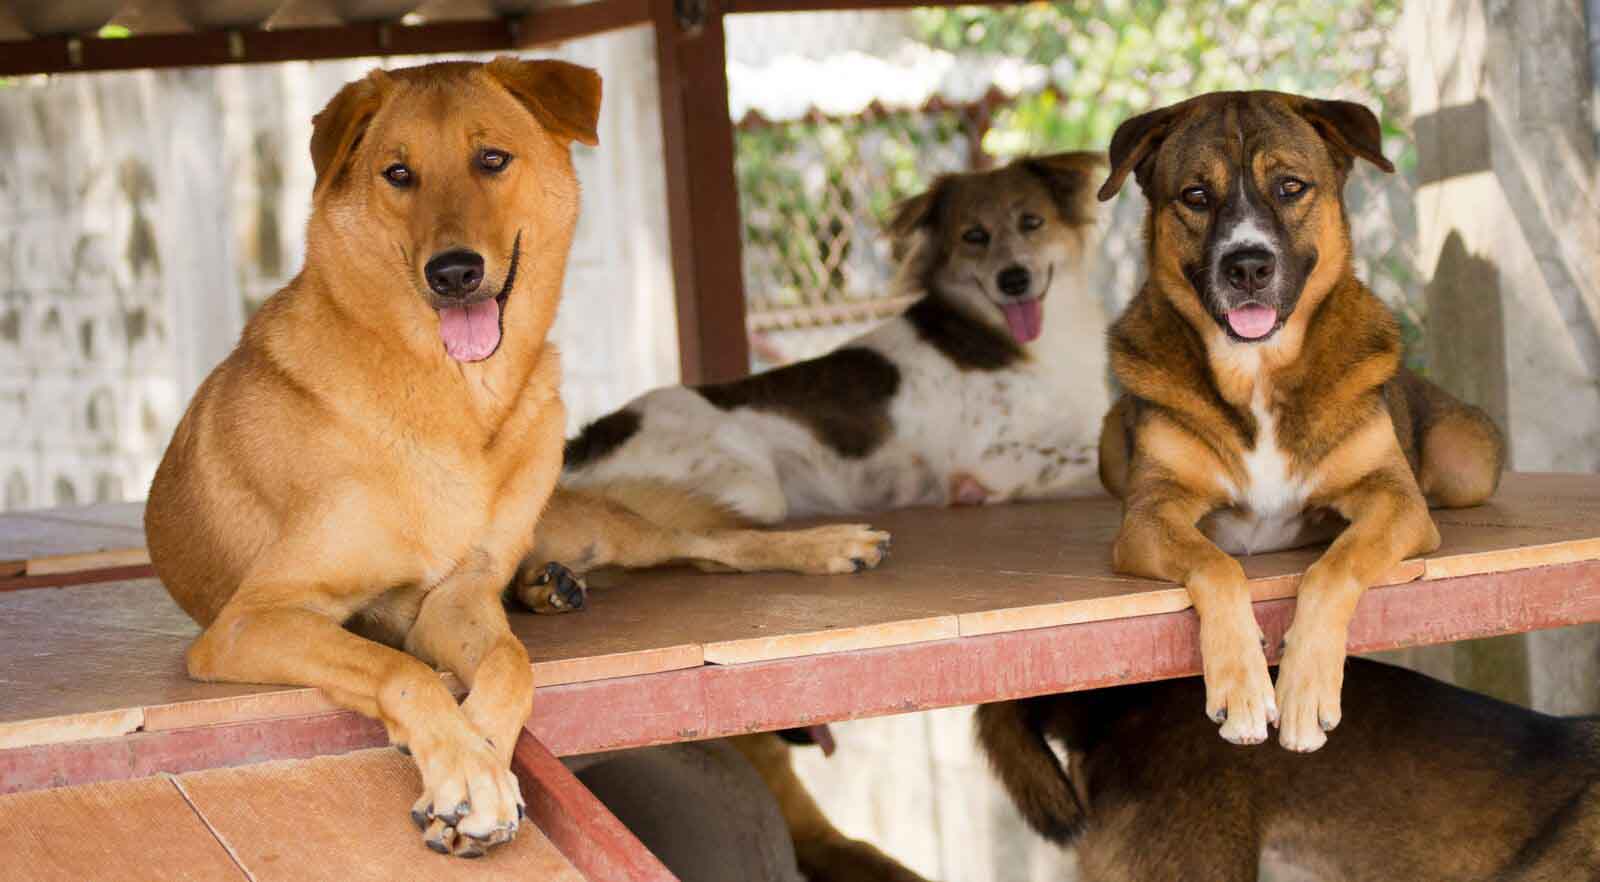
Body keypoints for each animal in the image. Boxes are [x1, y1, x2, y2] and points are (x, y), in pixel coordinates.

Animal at [1094, 89, 1504, 752]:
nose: (1248, 266)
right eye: (1196, 195)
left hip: (1468, 462)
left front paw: (1305, 692)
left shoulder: (1395, 501)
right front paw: (1241, 689)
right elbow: (1217, 563)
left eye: (1290, 187)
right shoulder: (1147, 517)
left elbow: (1334, 566)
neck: (1258, 372)